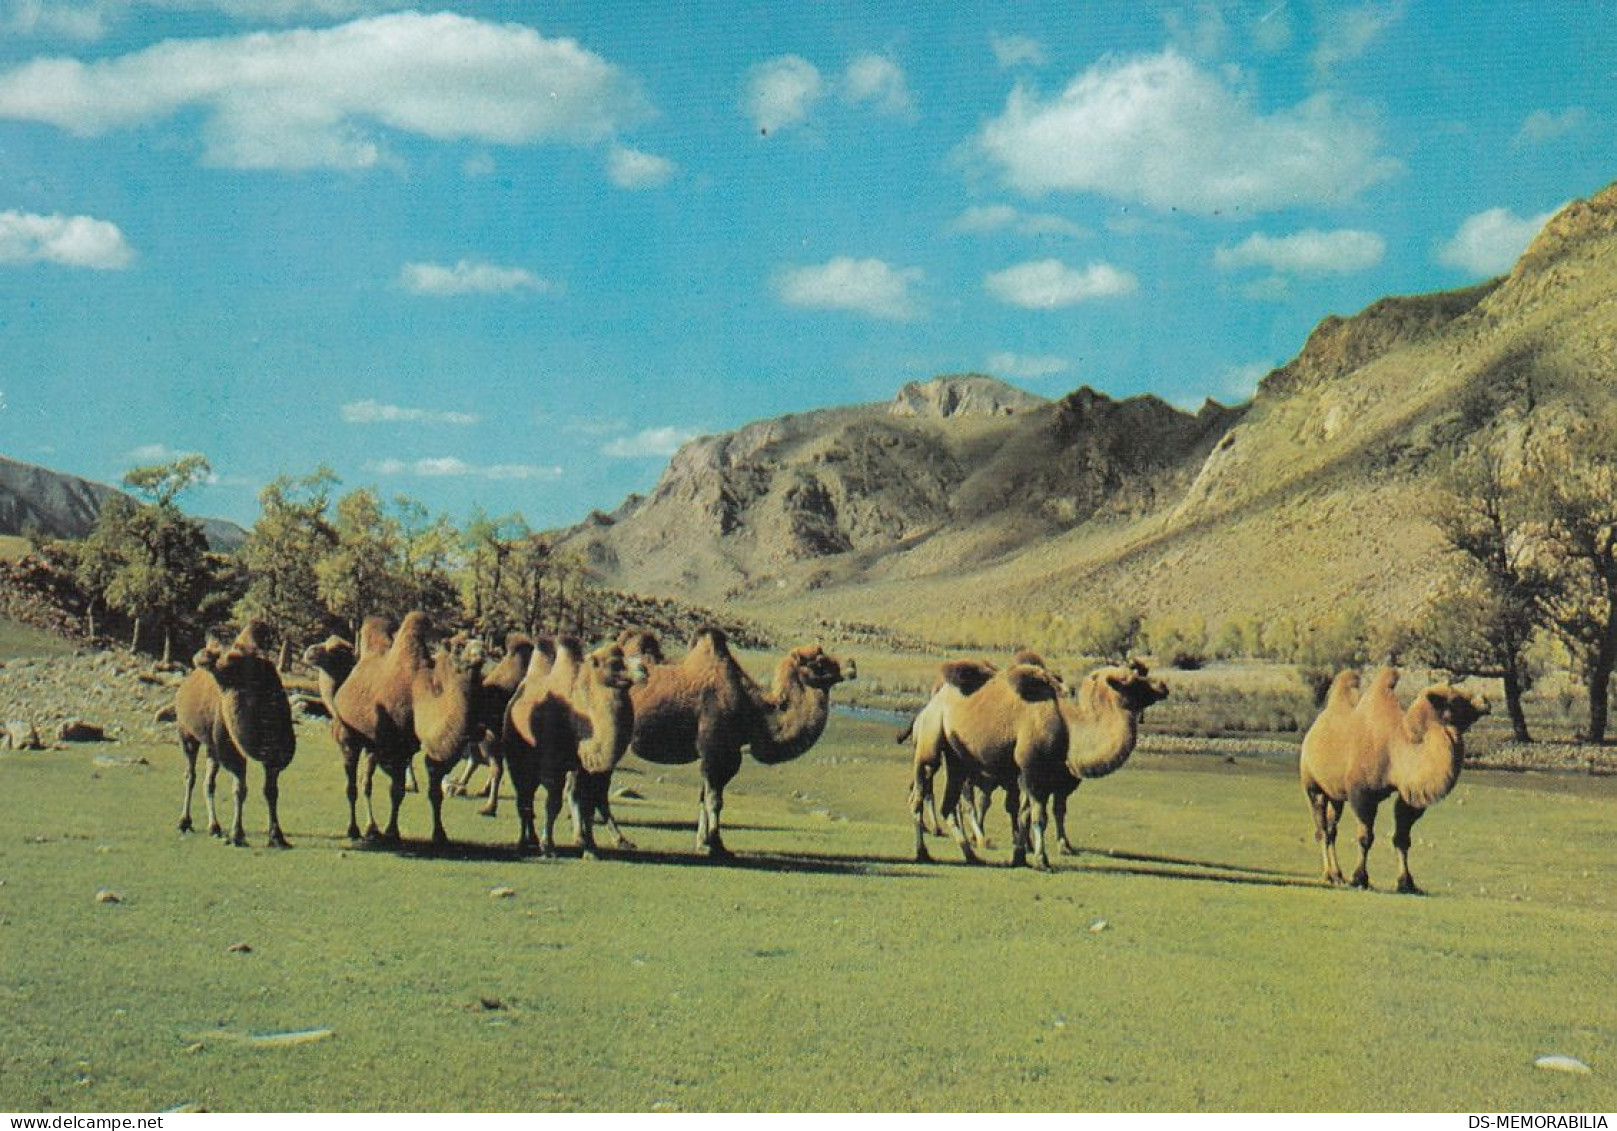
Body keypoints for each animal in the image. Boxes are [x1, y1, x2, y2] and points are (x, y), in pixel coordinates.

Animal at [175, 621, 297, 847]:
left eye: (233, 658)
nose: (201, 656)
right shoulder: (231, 747)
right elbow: (240, 789)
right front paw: (237, 834)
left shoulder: (275, 756)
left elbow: (271, 791)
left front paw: (277, 836)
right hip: (187, 733)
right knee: (191, 775)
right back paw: (184, 822)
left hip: (212, 746)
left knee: (209, 781)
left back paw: (214, 827)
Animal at [502, 638, 637, 857]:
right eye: (614, 663)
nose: (643, 669)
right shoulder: (552, 764)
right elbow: (553, 802)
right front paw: (548, 846)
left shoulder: (589, 767)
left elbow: (588, 802)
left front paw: (590, 848)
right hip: (518, 756)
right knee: (524, 796)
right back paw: (524, 842)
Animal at [627, 627, 855, 856]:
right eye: (819, 663)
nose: (851, 665)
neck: (753, 709)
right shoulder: (716, 752)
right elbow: (714, 800)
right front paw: (716, 845)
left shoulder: (723, 754)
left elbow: (703, 797)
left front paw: (702, 843)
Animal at [1300, 666, 1489, 893]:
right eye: (1456, 699)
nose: (1485, 701)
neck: (1396, 749)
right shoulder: (1361, 794)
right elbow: (1365, 837)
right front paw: (1360, 878)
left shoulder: (1408, 794)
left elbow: (1401, 838)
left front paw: (1406, 882)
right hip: (1312, 784)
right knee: (1322, 829)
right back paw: (1329, 875)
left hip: (1335, 794)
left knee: (1331, 827)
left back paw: (1337, 875)